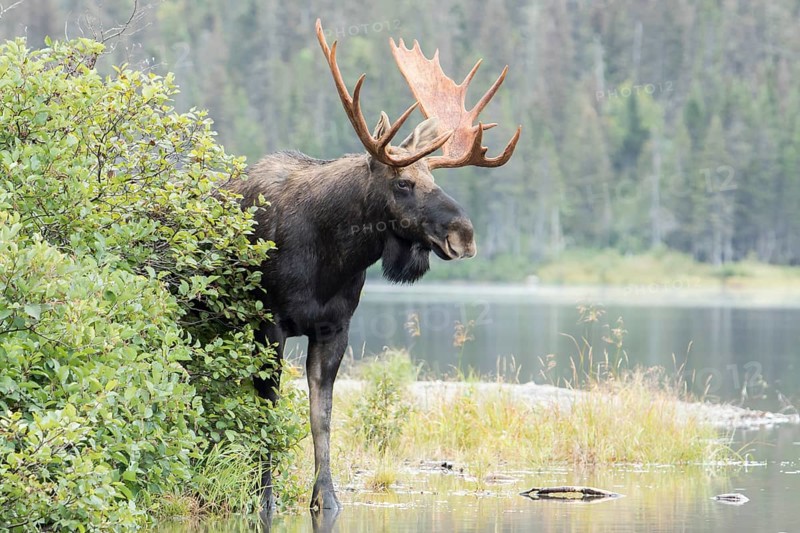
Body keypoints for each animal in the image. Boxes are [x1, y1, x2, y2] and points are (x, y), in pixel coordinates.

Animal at [228, 19, 520, 512]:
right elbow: (267, 410)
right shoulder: (268, 322)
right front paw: (262, 497)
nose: (464, 234)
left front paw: (325, 496)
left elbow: (322, 418)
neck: (328, 258)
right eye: (403, 182)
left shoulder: (335, 328)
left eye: (434, 178)